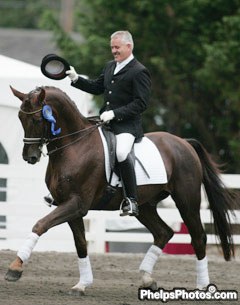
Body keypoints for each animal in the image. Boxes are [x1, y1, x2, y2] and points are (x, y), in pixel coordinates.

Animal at [4, 85, 237, 292]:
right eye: (20, 118)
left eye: (36, 119)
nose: (30, 157)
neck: (75, 146)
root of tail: (184, 143)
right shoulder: (69, 206)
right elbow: (81, 243)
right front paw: (82, 284)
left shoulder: (77, 204)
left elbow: (40, 225)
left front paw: (15, 268)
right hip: (145, 205)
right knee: (163, 232)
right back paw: (147, 278)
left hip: (187, 201)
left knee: (198, 237)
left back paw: (202, 286)